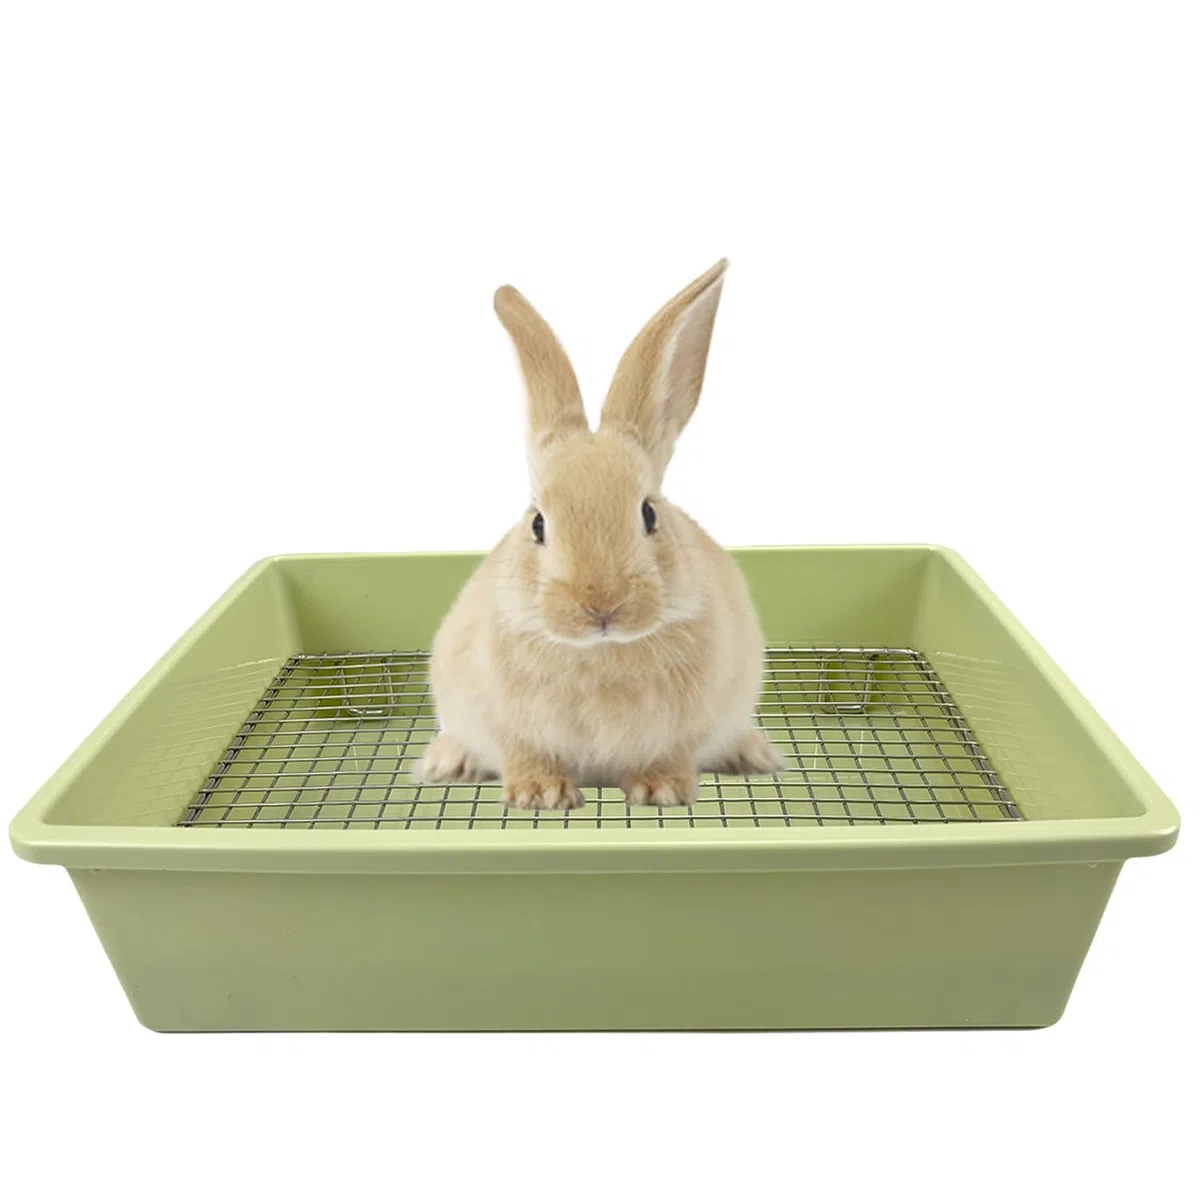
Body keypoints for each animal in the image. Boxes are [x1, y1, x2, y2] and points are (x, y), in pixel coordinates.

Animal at [415, 259, 784, 809]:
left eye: (649, 514)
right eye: (538, 523)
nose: (601, 605)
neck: (599, 652)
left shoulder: (684, 728)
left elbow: (670, 755)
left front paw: (661, 792)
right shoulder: (509, 724)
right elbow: (524, 753)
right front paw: (540, 795)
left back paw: (754, 754)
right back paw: (448, 762)